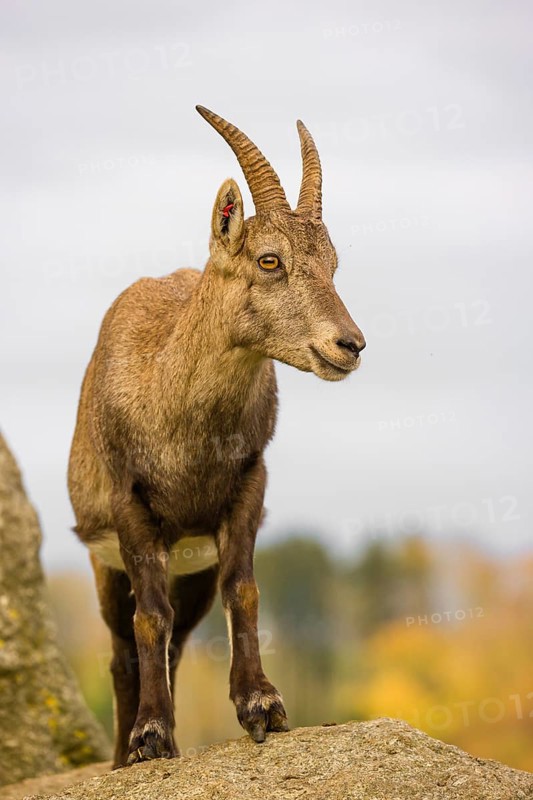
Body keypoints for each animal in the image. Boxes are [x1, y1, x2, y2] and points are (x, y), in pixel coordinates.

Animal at [68, 105, 366, 768]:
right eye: (269, 260)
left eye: (333, 264)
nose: (350, 344)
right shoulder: (132, 508)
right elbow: (148, 620)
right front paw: (150, 736)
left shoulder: (246, 486)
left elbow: (245, 592)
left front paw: (261, 705)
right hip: (106, 564)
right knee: (123, 649)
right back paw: (126, 750)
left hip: (191, 566)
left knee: (179, 641)